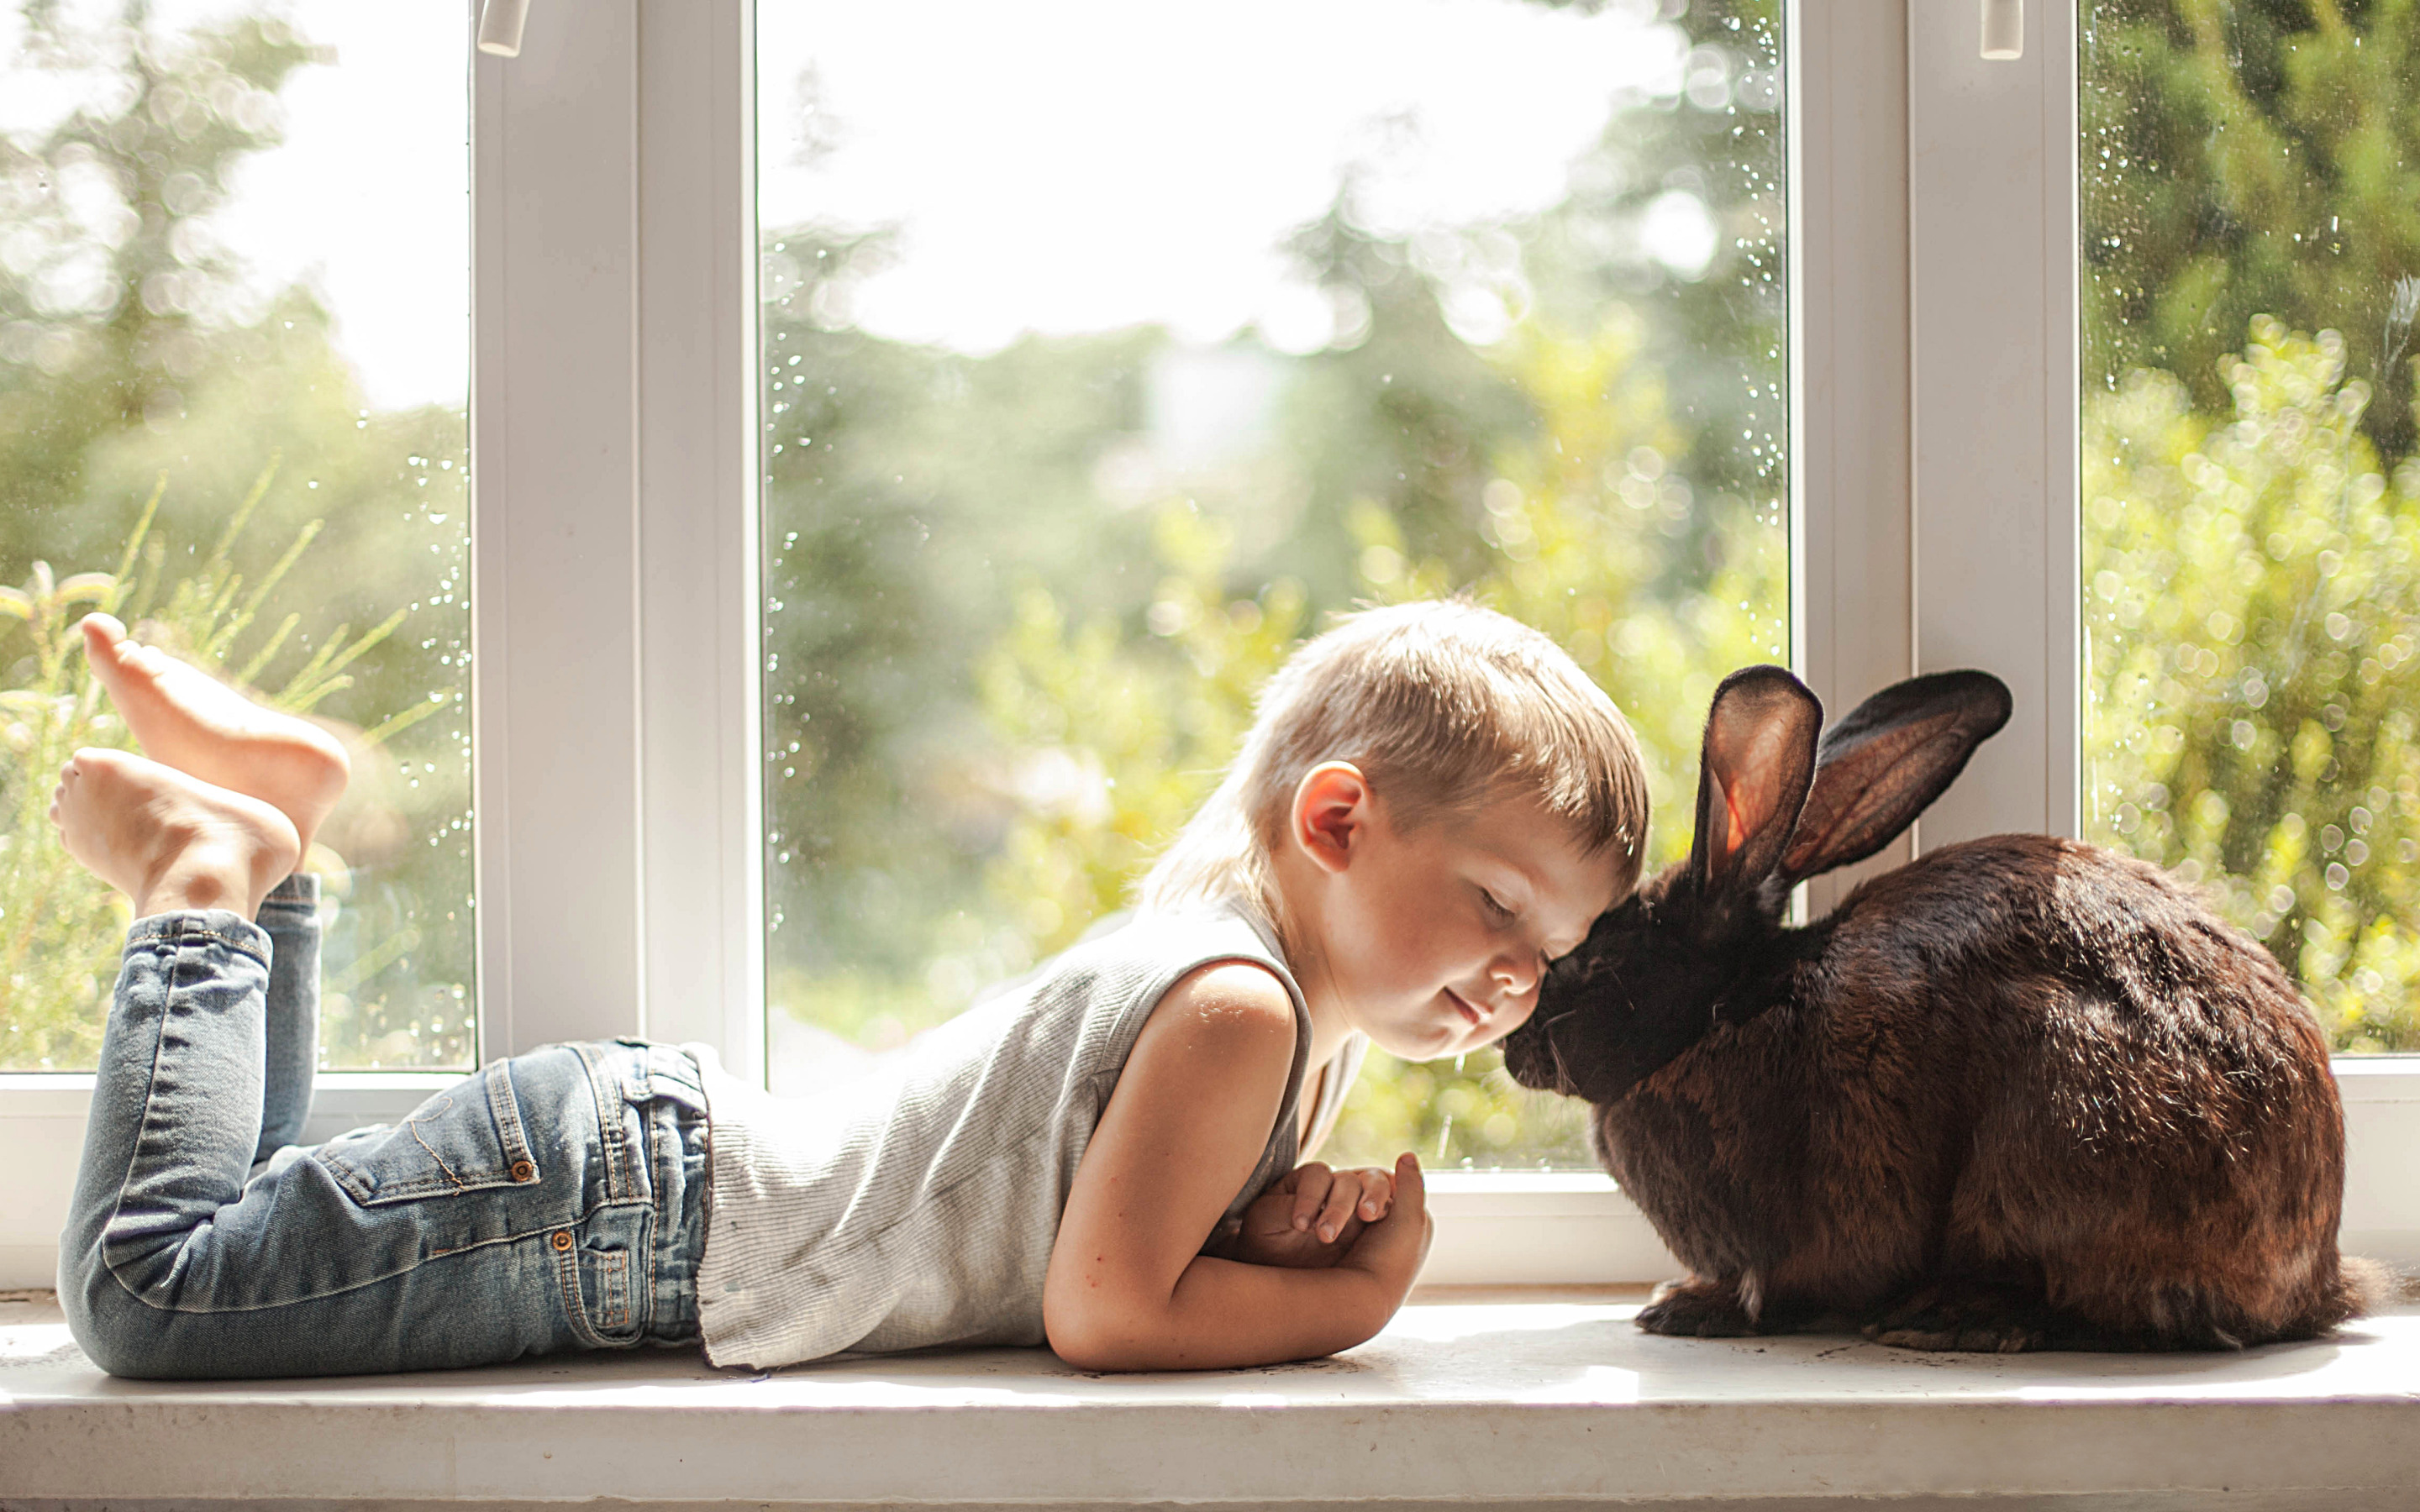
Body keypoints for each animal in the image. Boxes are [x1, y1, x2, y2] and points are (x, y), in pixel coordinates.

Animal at [1491, 667, 2381, 1354]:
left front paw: (1685, 1306)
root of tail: (2312, 1284)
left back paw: (1945, 1320)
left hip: (2056, 1127)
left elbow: (1772, 1285)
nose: (1513, 1051)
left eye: (1593, 963)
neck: (1725, 1010)